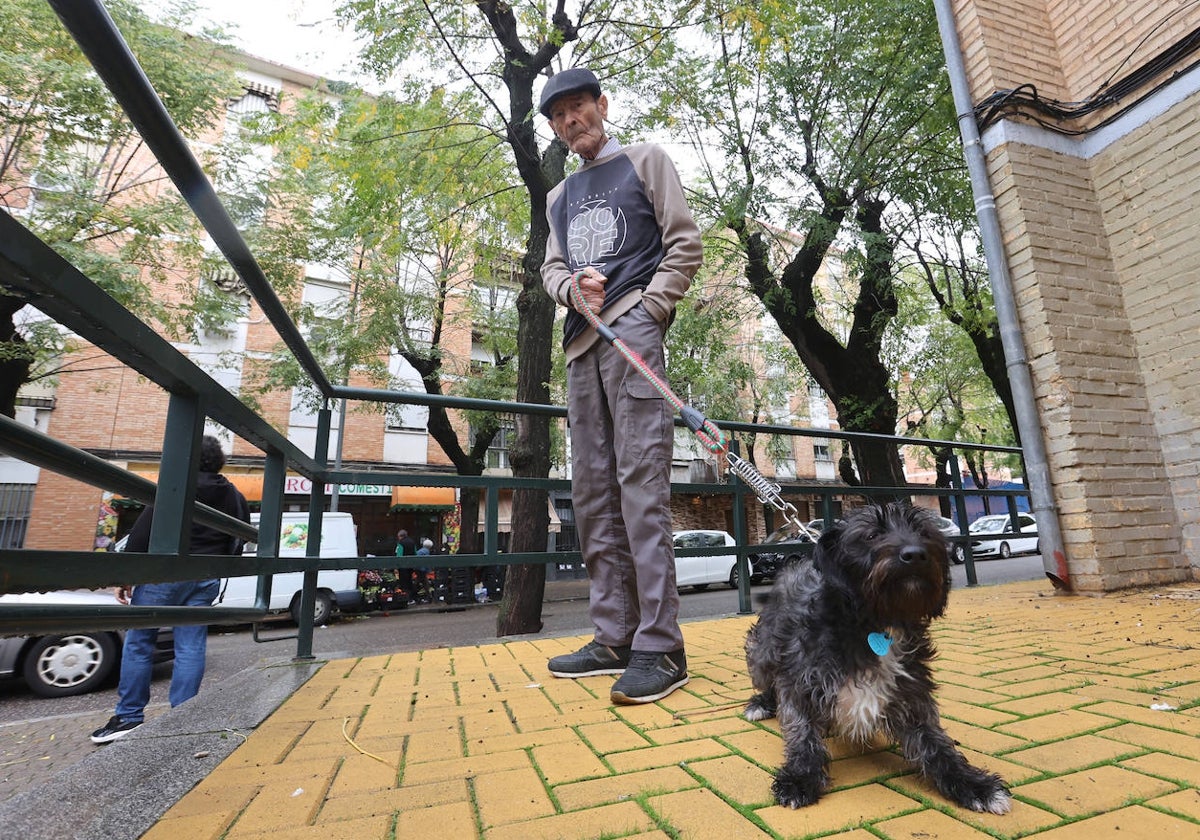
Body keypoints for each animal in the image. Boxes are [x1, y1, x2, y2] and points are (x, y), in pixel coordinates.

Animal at [744, 501, 1008, 811]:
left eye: (924, 532)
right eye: (871, 535)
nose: (915, 554)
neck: (875, 624)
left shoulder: (912, 696)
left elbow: (937, 746)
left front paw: (973, 784)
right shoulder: (801, 684)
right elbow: (802, 733)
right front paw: (800, 777)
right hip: (762, 652)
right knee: (768, 678)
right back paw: (761, 703)